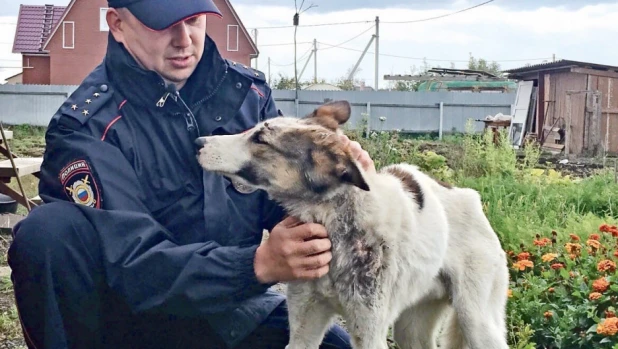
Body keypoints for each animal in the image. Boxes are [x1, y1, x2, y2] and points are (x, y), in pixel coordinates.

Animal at [195, 100, 508, 348]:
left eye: (260, 139)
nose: (198, 143)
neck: (335, 225)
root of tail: (471, 197)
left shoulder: (369, 334)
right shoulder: (303, 329)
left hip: (476, 323)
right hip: (411, 330)